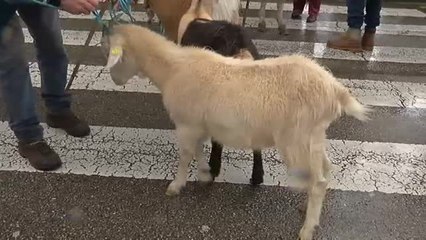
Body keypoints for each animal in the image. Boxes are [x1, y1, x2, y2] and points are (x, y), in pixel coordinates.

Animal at [102, 23, 370, 239]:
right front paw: (205, 174)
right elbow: (198, 151)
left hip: (296, 138)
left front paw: (176, 186)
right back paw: (308, 210)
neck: (171, 69)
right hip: (314, 136)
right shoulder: (199, 124)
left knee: (318, 182)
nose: (114, 80)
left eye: (116, 55)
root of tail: (335, 89)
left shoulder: (186, 124)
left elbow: (185, 156)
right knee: (324, 171)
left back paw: (306, 229)